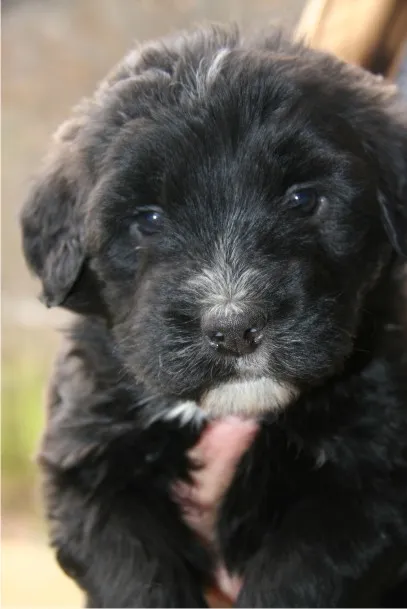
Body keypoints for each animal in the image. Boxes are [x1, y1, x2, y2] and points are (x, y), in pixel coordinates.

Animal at [20, 25, 407, 608]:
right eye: (148, 220)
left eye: (302, 199)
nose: (234, 328)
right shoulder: (90, 462)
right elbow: (135, 573)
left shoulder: (371, 473)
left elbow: (298, 578)